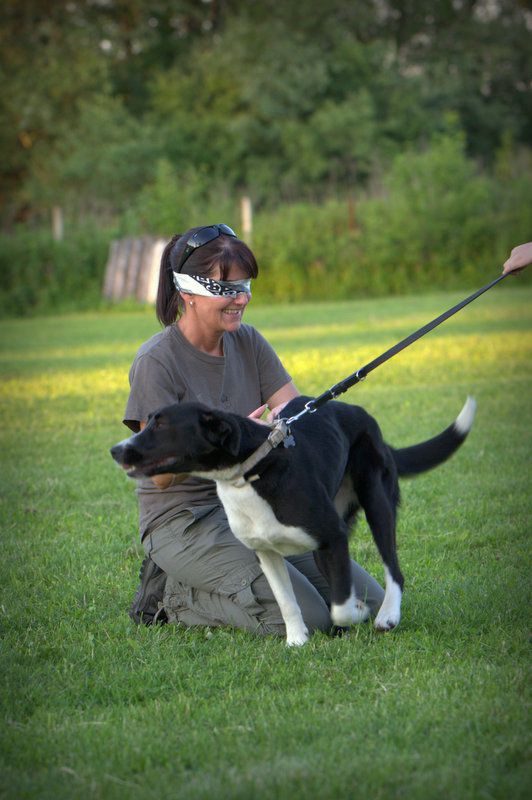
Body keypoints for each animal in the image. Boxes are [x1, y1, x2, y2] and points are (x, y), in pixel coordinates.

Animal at [110, 396, 476, 648]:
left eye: (162, 425)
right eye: (148, 421)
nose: (115, 450)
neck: (251, 470)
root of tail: (365, 416)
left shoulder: (333, 537)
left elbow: (340, 607)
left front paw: (358, 611)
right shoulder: (266, 552)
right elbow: (288, 601)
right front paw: (297, 641)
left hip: (377, 503)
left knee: (393, 568)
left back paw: (387, 616)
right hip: (324, 545)